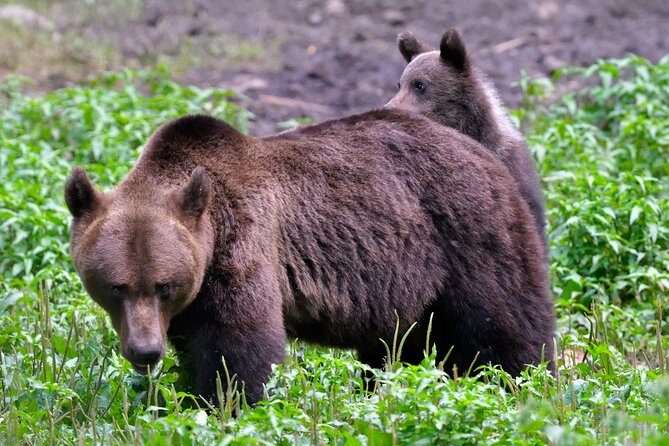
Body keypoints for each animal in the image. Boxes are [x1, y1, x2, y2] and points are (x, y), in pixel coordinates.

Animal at [64, 110, 555, 406]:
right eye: (116, 286)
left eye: (163, 285)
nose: (145, 350)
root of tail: (484, 150)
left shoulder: (242, 247)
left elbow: (239, 350)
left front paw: (225, 405)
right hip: (412, 287)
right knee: (398, 348)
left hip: (468, 237)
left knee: (504, 329)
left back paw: (530, 387)